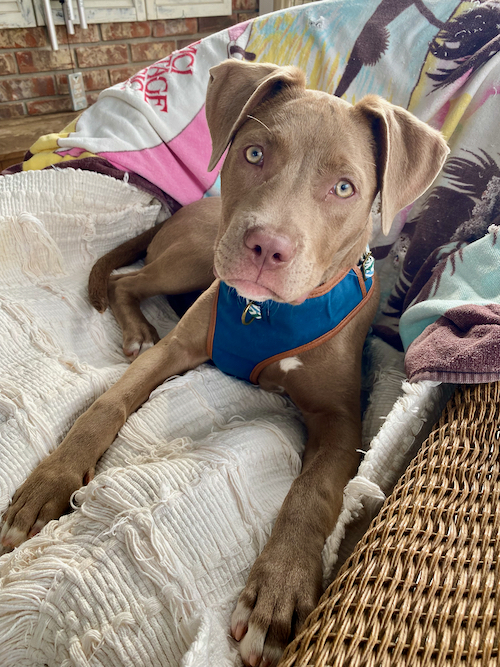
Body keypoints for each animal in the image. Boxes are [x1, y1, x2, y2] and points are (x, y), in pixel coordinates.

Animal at [1, 60, 448, 664]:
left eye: (344, 188)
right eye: (255, 153)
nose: (266, 247)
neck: (267, 313)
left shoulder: (341, 418)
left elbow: (313, 492)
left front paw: (278, 590)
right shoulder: (174, 352)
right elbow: (107, 403)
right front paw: (51, 479)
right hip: (195, 256)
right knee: (126, 282)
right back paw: (138, 329)